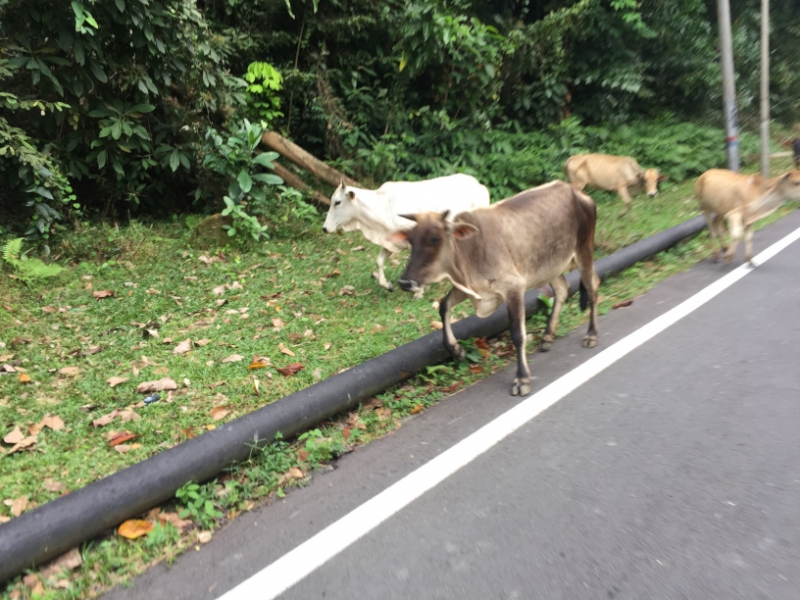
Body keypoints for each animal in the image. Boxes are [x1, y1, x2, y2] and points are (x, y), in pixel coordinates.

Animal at [322, 174, 490, 298]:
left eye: (337, 202)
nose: (324, 228)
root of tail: (480, 186)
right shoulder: (390, 242)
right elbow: (379, 261)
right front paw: (387, 285)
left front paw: (418, 291)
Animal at [389, 181, 600, 397]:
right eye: (410, 240)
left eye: (435, 238)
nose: (405, 282)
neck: (467, 251)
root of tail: (574, 190)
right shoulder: (469, 289)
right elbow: (443, 306)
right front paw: (456, 350)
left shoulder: (513, 287)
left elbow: (518, 334)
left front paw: (522, 379)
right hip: (551, 266)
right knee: (563, 289)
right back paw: (547, 337)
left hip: (584, 250)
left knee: (593, 286)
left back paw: (591, 335)